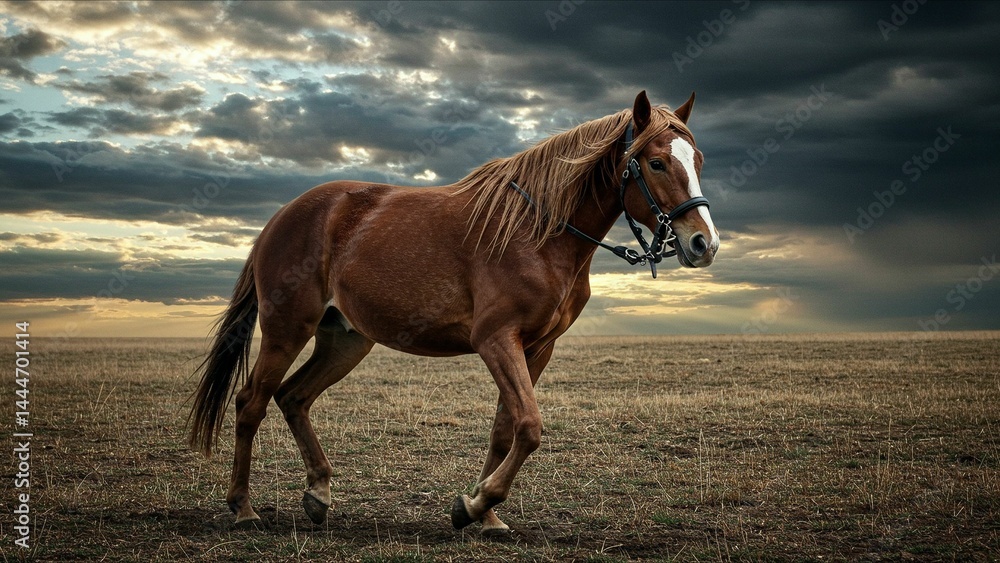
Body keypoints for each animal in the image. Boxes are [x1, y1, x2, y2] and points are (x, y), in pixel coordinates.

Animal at [188, 90, 719, 535]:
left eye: (697, 160)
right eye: (655, 162)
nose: (704, 243)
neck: (538, 232)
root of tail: (281, 218)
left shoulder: (537, 348)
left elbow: (507, 430)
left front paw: (485, 515)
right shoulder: (495, 339)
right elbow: (530, 427)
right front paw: (474, 504)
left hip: (345, 340)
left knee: (293, 397)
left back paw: (318, 492)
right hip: (286, 329)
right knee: (251, 403)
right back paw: (243, 508)